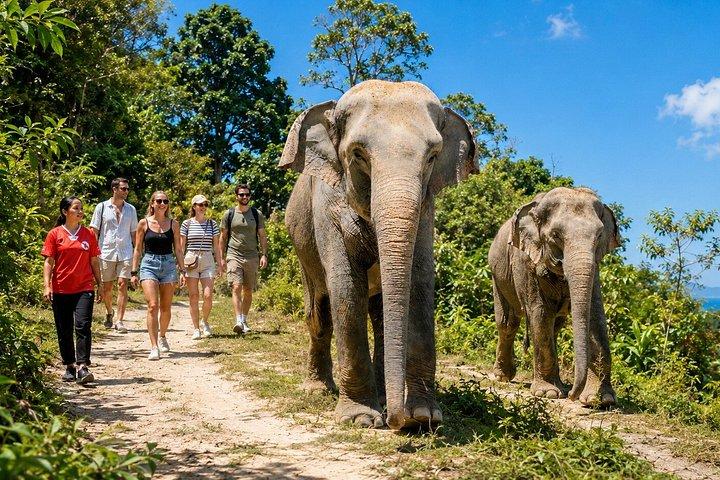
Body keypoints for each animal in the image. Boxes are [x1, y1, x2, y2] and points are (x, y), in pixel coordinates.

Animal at [279, 80, 477, 430]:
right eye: (358, 154)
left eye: (432, 156)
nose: (399, 422)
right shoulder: (326, 208)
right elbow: (346, 288)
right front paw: (360, 418)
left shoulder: (426, 210)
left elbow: (419, 284)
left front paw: (424, 416)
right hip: (301, 245)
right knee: (319, 310)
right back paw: (319, 390)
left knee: (380, 315)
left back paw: (384, 397)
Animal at [488, 187, 619, 407]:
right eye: (556, 235)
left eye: (600, 234)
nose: (573, 395)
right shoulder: (525, 261)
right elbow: (540, 313)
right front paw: (549, 393)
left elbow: (596, 317)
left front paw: (601, 400)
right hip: (497, 276)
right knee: (508, 323)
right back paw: (502, 376)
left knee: (555, 326)